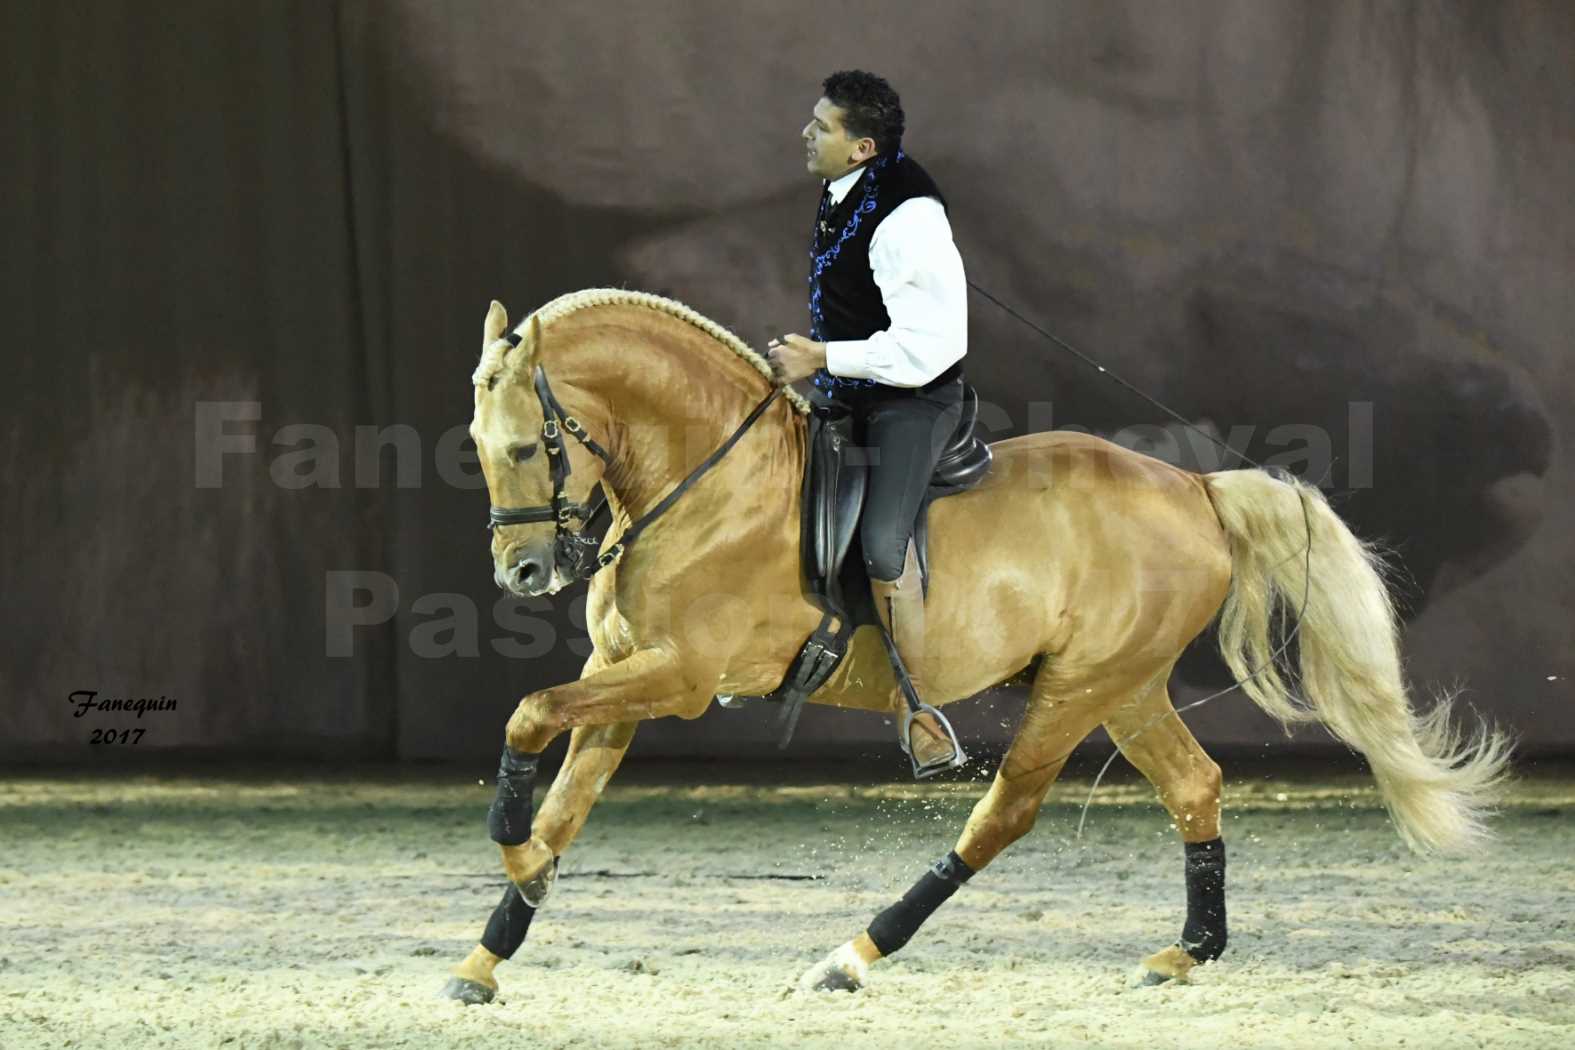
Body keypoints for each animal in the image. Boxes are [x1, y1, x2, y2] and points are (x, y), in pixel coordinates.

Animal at [444, 288, 1499, 1001]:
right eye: (478, 443)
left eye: (530, 446)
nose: (524, 573)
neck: (708, 480)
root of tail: (1193, 487)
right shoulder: (620, 673)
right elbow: (565, 801)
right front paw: (490, 948)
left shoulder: (680, 679)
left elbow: (527, 716)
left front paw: (515, 862)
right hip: (1125, 686)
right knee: (1194, 786)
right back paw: (1184, 952)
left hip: (1076, 691)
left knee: (1005, 813)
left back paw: (852, 954)